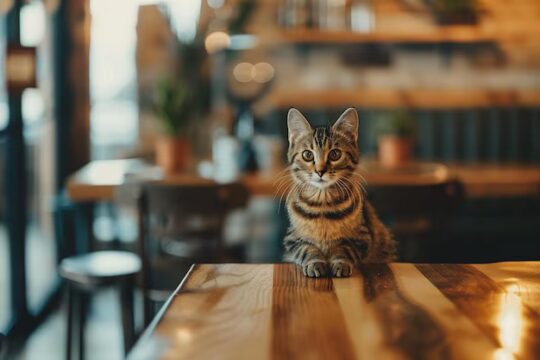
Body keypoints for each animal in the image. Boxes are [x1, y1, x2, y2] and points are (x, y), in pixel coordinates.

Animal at [282, 107, 396, 278]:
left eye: (335, 154)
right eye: (307, 155)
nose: (320, 171)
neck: (322, 205)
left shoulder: (362, 237)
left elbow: (344, 249)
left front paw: (340, 263)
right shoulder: (292, 238)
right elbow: (307, 248)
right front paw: (315, 262)